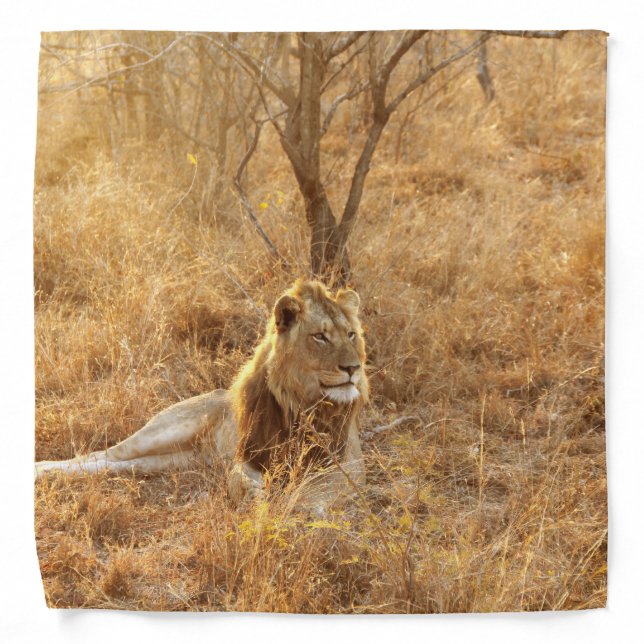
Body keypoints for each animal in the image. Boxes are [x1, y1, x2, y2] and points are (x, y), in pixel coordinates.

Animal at [35, 280, 368, 511]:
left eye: (351, 334)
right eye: (320, 337)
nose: (353, 368)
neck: (303, 402)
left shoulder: (349, 462)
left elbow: (319, 487)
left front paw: (300, 507)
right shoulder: (250, 454)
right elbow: (238, 477)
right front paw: (254, 497)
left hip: (174, 460)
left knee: (117, 465)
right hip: (165, 430)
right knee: (100, 455)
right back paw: (42, 470)